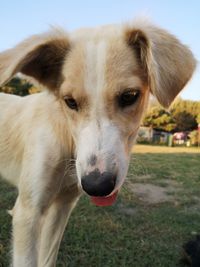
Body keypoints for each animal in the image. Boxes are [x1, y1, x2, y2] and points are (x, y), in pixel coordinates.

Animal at [0, 19, 197, 266]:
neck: (67, 139)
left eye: (129, 96)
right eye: (70, 101)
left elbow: (48, 258)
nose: (97, 185)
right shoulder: (28, 213)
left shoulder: (62, 206)